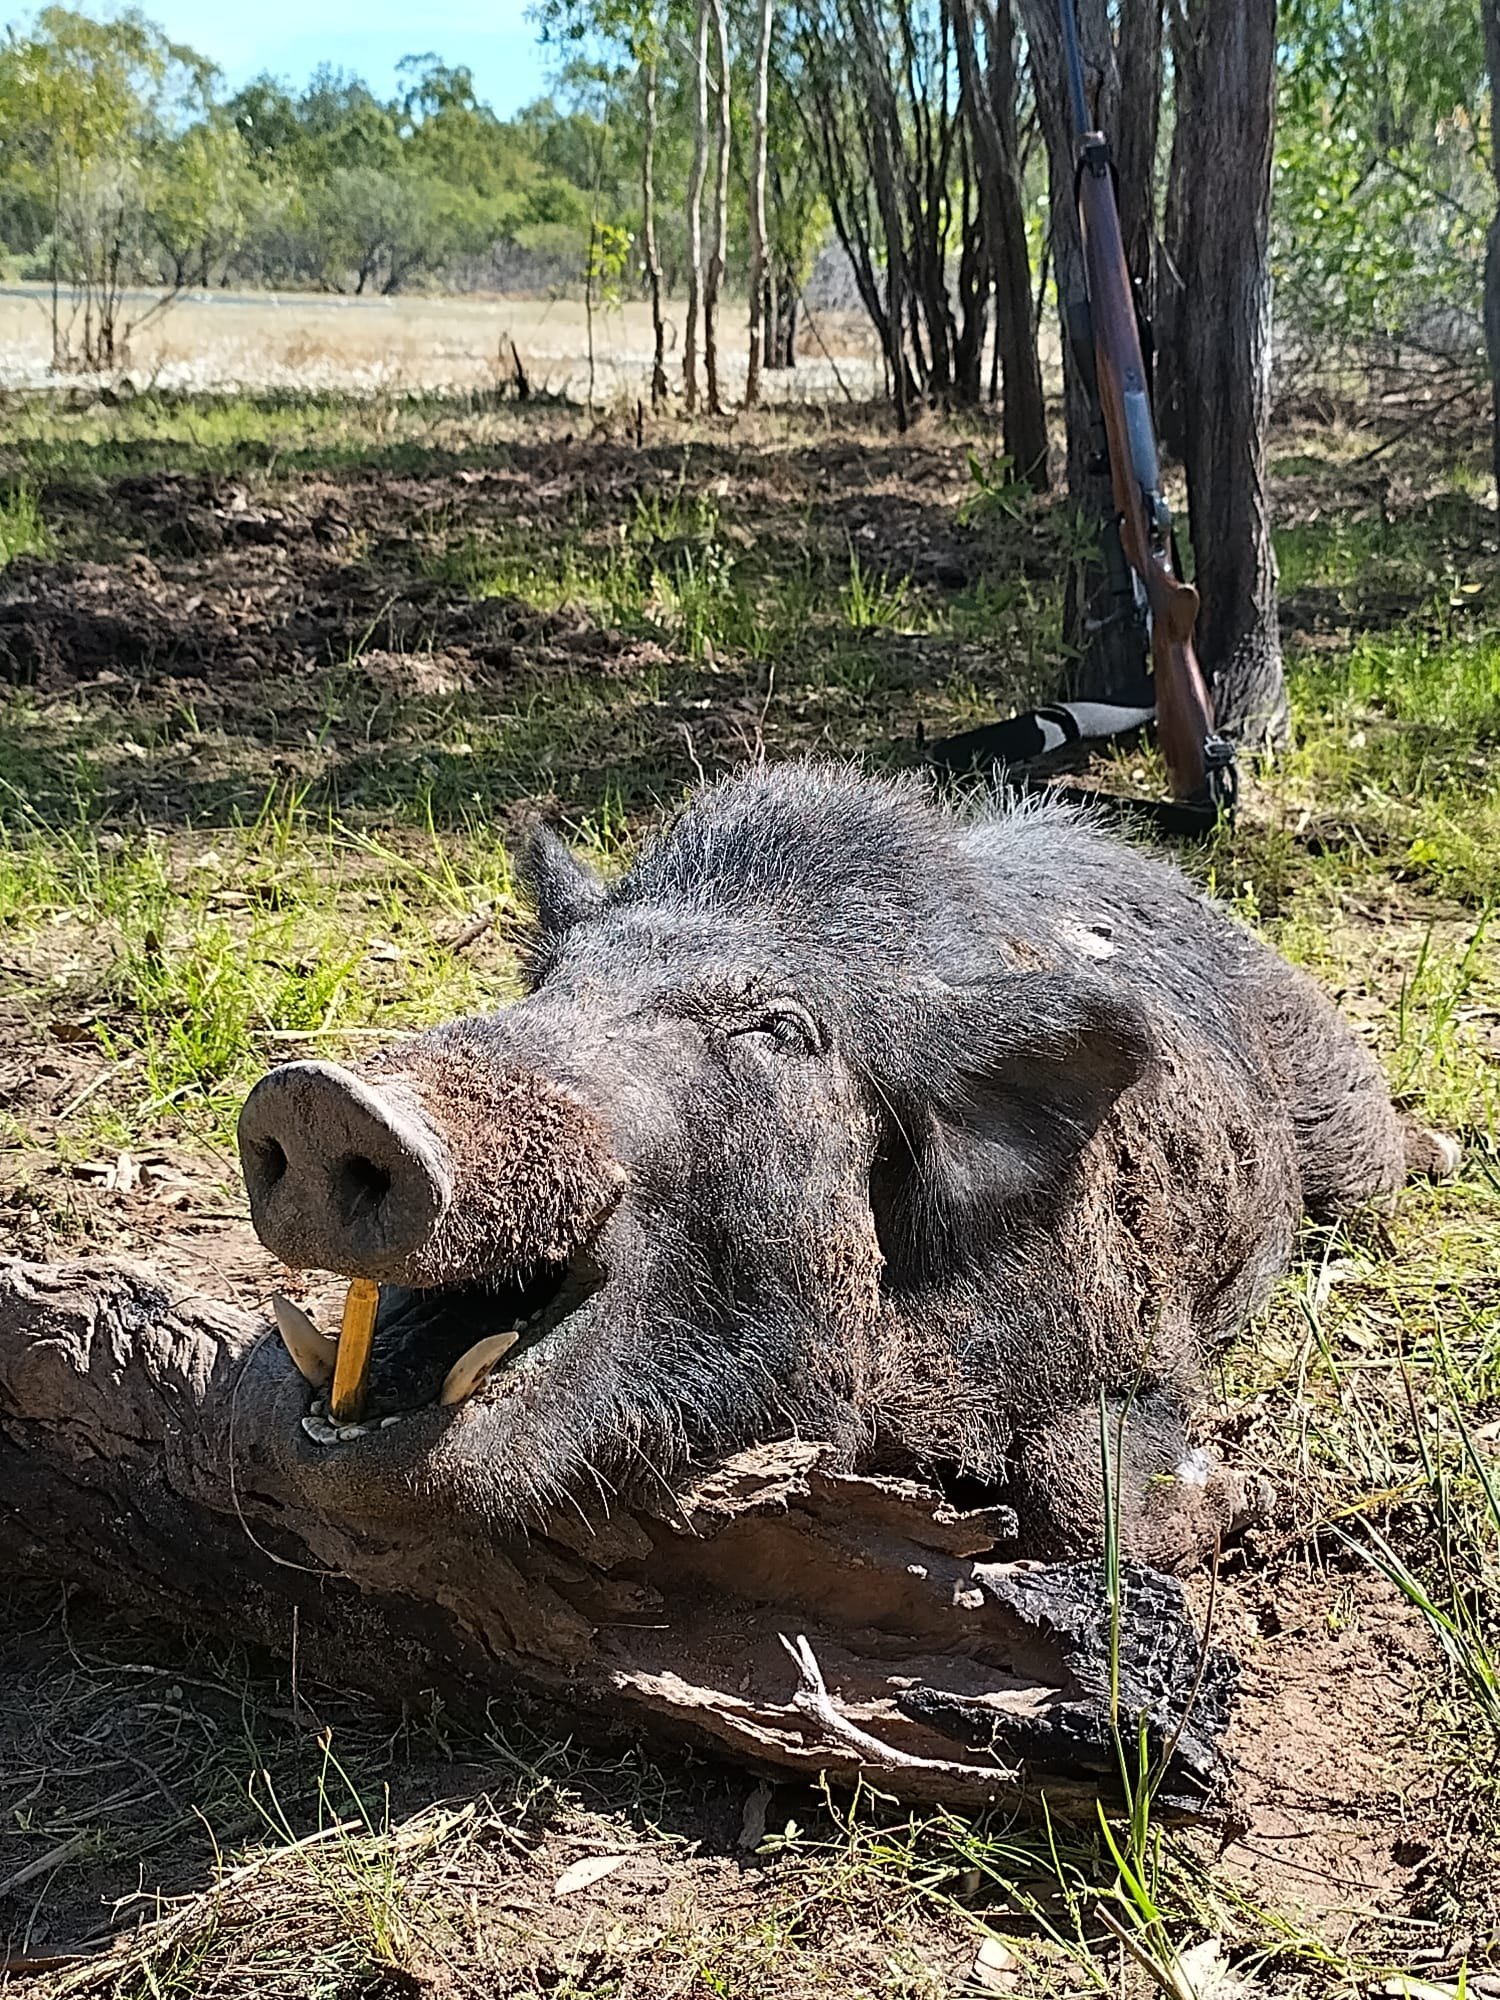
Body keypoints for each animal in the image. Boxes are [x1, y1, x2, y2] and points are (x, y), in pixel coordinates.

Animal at [238, 762, 1454, 1569]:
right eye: (553, 980)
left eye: (779, 1028)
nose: (319, 1095)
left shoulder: (1132, 1329)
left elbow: (1086, 1497)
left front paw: (1250, 1490)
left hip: (1339, 1105)